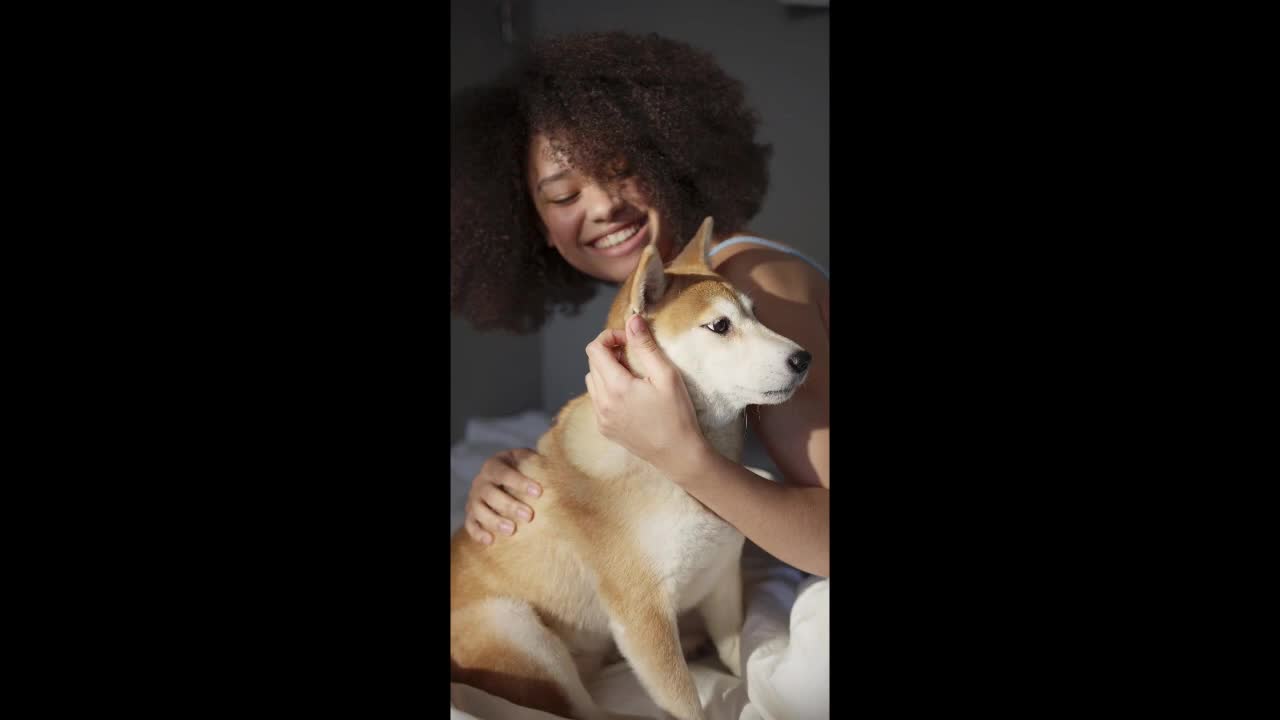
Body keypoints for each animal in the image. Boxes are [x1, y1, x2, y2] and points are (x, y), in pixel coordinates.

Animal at [450, 213, 808, 717]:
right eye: (719, 326)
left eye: (757, 314)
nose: (804, 358)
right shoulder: (644, 617)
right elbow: (686, 703)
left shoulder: (721, 584)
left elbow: (738, 662)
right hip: (517, 629)